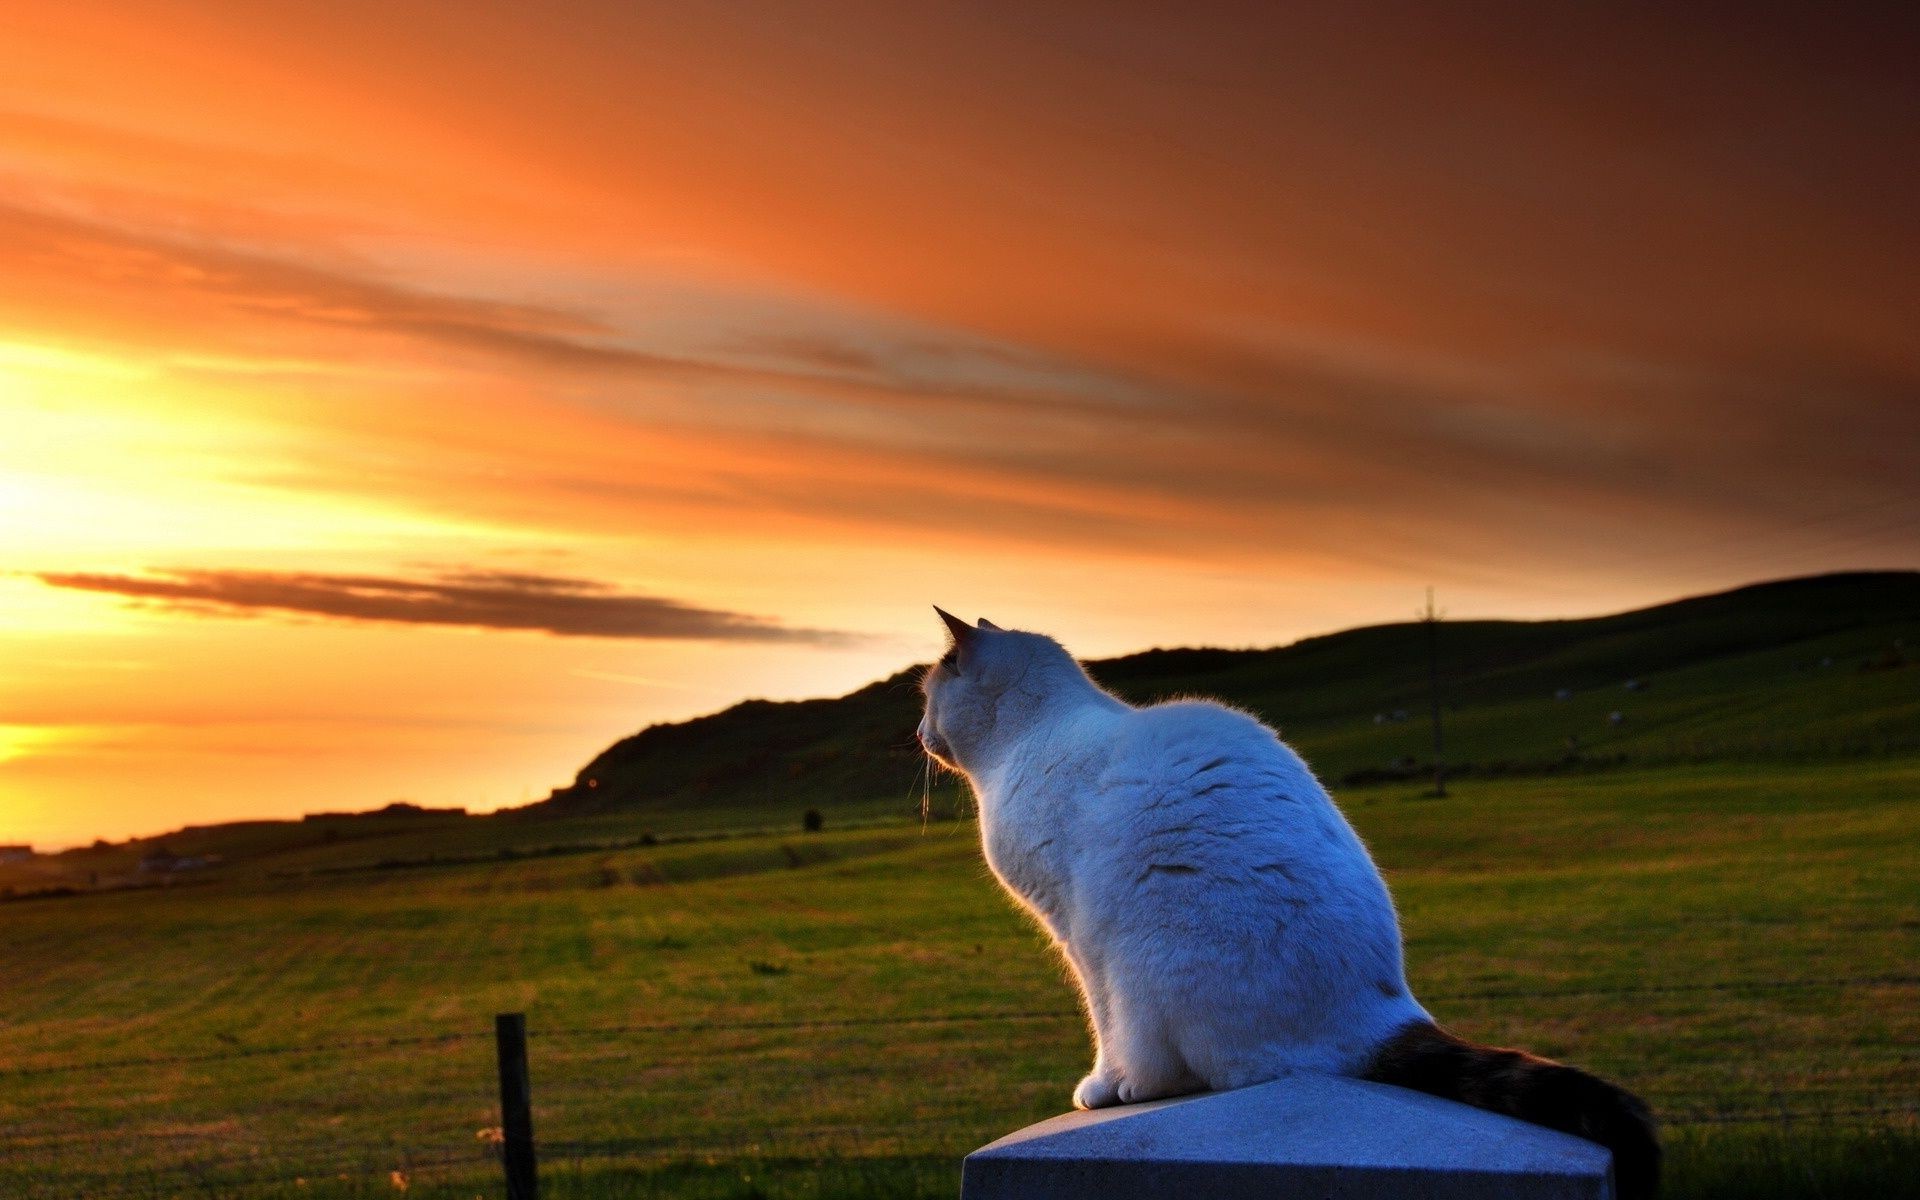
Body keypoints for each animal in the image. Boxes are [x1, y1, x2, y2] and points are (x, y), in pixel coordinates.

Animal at [921, 606, 1658, 1198]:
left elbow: (1102, 1025)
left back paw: (1135, 1084)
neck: (1026, 740)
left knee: (1180, 1063)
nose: (921, 732)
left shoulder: (1076, 933)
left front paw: (1101, 1087)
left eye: (927, 695)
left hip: (1143, 955)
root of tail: (1386, 1016)